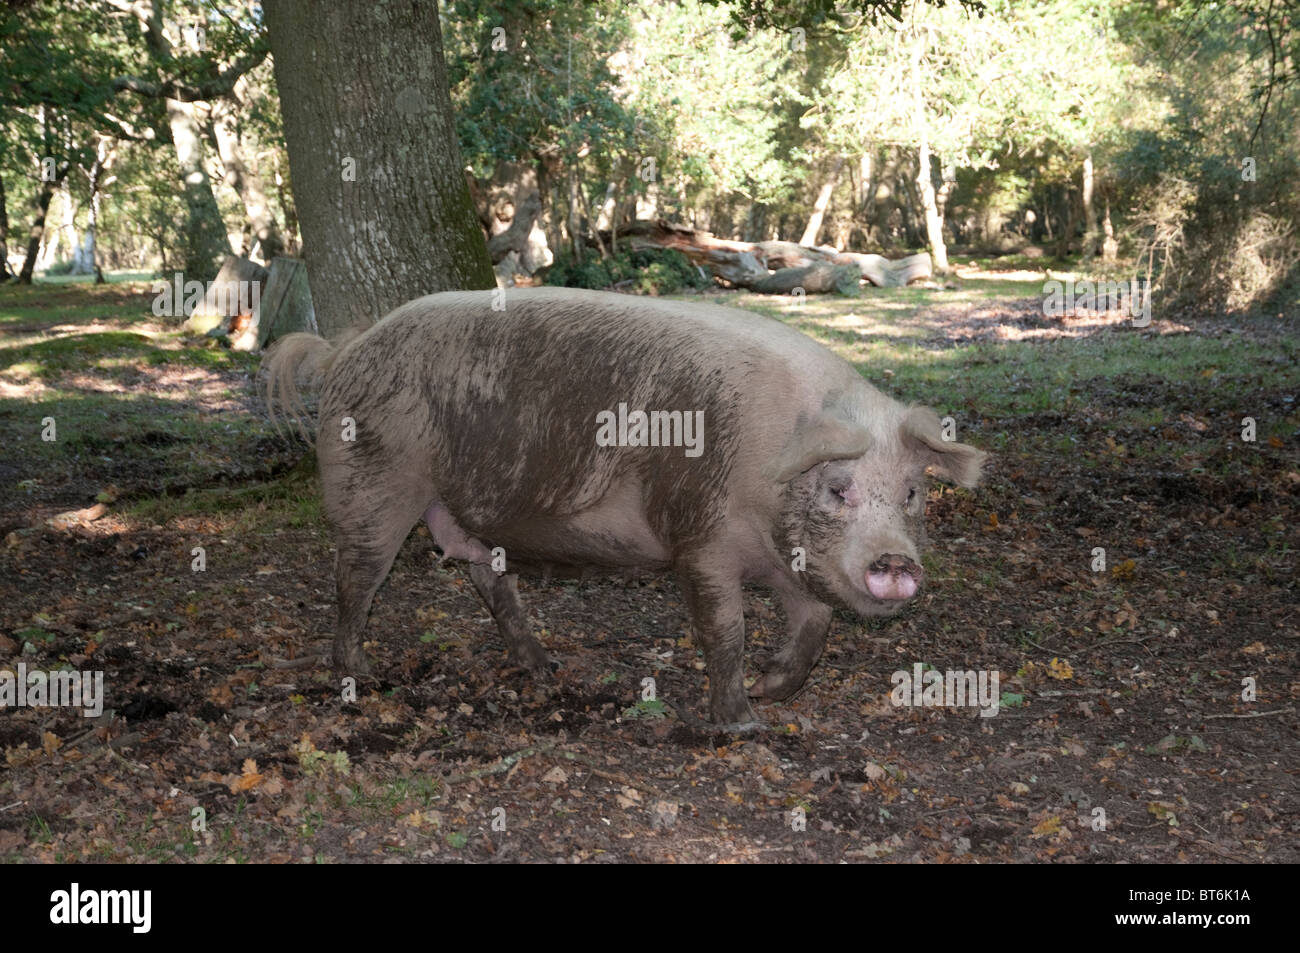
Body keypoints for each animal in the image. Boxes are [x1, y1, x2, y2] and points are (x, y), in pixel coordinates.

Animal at [263, 286, 982, 722]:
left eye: (912, 492)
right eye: (839, 488)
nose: (897, 561)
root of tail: (345, 349)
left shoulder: (790, 561)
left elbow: (815, 625)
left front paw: (771, 688)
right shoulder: (699, 537)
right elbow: (724, 628)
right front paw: (741, 723)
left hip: (459, 511)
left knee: (487, 578)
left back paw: (546, 669)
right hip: (374, 482)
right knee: (355, 577)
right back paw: (364, 675)